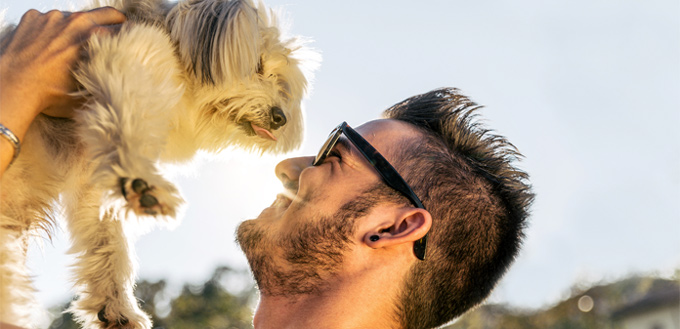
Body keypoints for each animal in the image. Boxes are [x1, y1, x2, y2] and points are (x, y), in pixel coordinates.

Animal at [0, 0, 318, 326]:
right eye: (257, 66)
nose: (281, 117)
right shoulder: (126, 60)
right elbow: (127, 123)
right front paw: (142, 181)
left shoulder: (92, 183)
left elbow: (109, 244)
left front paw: (117, 308)